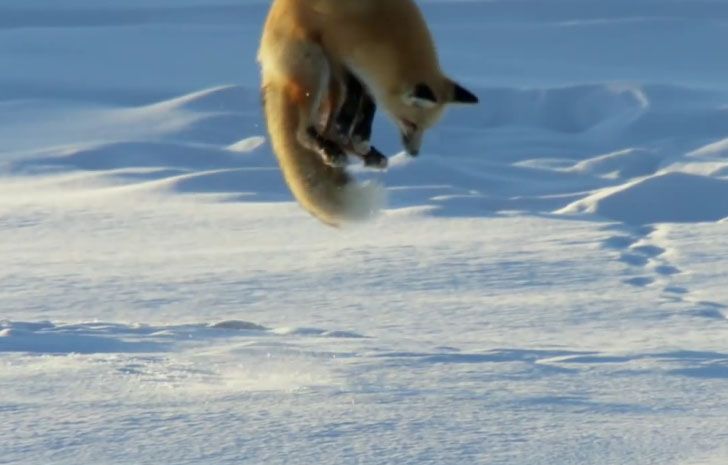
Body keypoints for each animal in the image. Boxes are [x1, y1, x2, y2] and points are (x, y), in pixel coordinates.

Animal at [258, 0, 478, 227]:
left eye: (426, 128)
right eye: (410, 123)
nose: (414, 153)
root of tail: (269, 71)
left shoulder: (360, 68)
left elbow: (368, 101)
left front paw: (360, 135)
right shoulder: (335, 48)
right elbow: (356, 88)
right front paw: (352, 130)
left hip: (327, 85)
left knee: (328, 130)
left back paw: (361, 151)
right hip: (316, 64)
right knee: (303, 132)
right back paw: (330, 147)